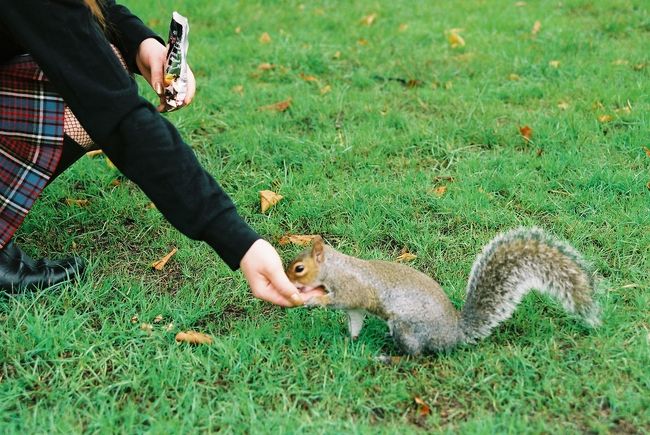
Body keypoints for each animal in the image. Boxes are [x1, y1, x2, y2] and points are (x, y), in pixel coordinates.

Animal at [286, 227, 600, 356]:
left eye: (299, 268)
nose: (289, 280)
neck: (335, 267)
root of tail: (454, 334)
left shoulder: (352, 290)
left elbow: (341, 299)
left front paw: (314, 300)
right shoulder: (355, 309)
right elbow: (354, 322)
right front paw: (348, 342)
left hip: (406, 326)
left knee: (417, 354)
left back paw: (391, 357)